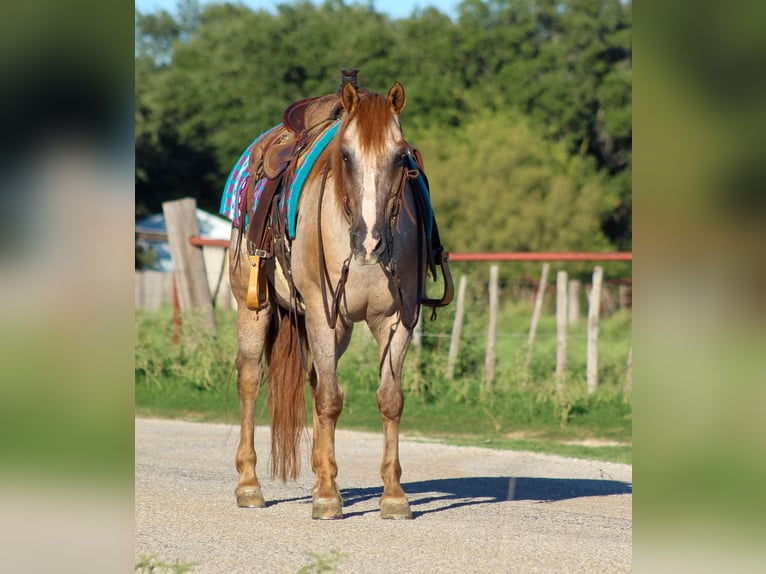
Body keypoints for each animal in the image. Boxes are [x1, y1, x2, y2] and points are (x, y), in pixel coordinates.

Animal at [231, 73, 452, 520]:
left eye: (400, 157)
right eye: (346, 156)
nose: (369, 241)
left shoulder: (399, 320)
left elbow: (389, 399)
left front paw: (393, 495)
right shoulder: (321, 312)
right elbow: (331, 400)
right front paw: (328, 499)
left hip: (339, 330)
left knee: (316, 381)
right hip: (255, 307)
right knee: (250, 379)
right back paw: (249, 485)